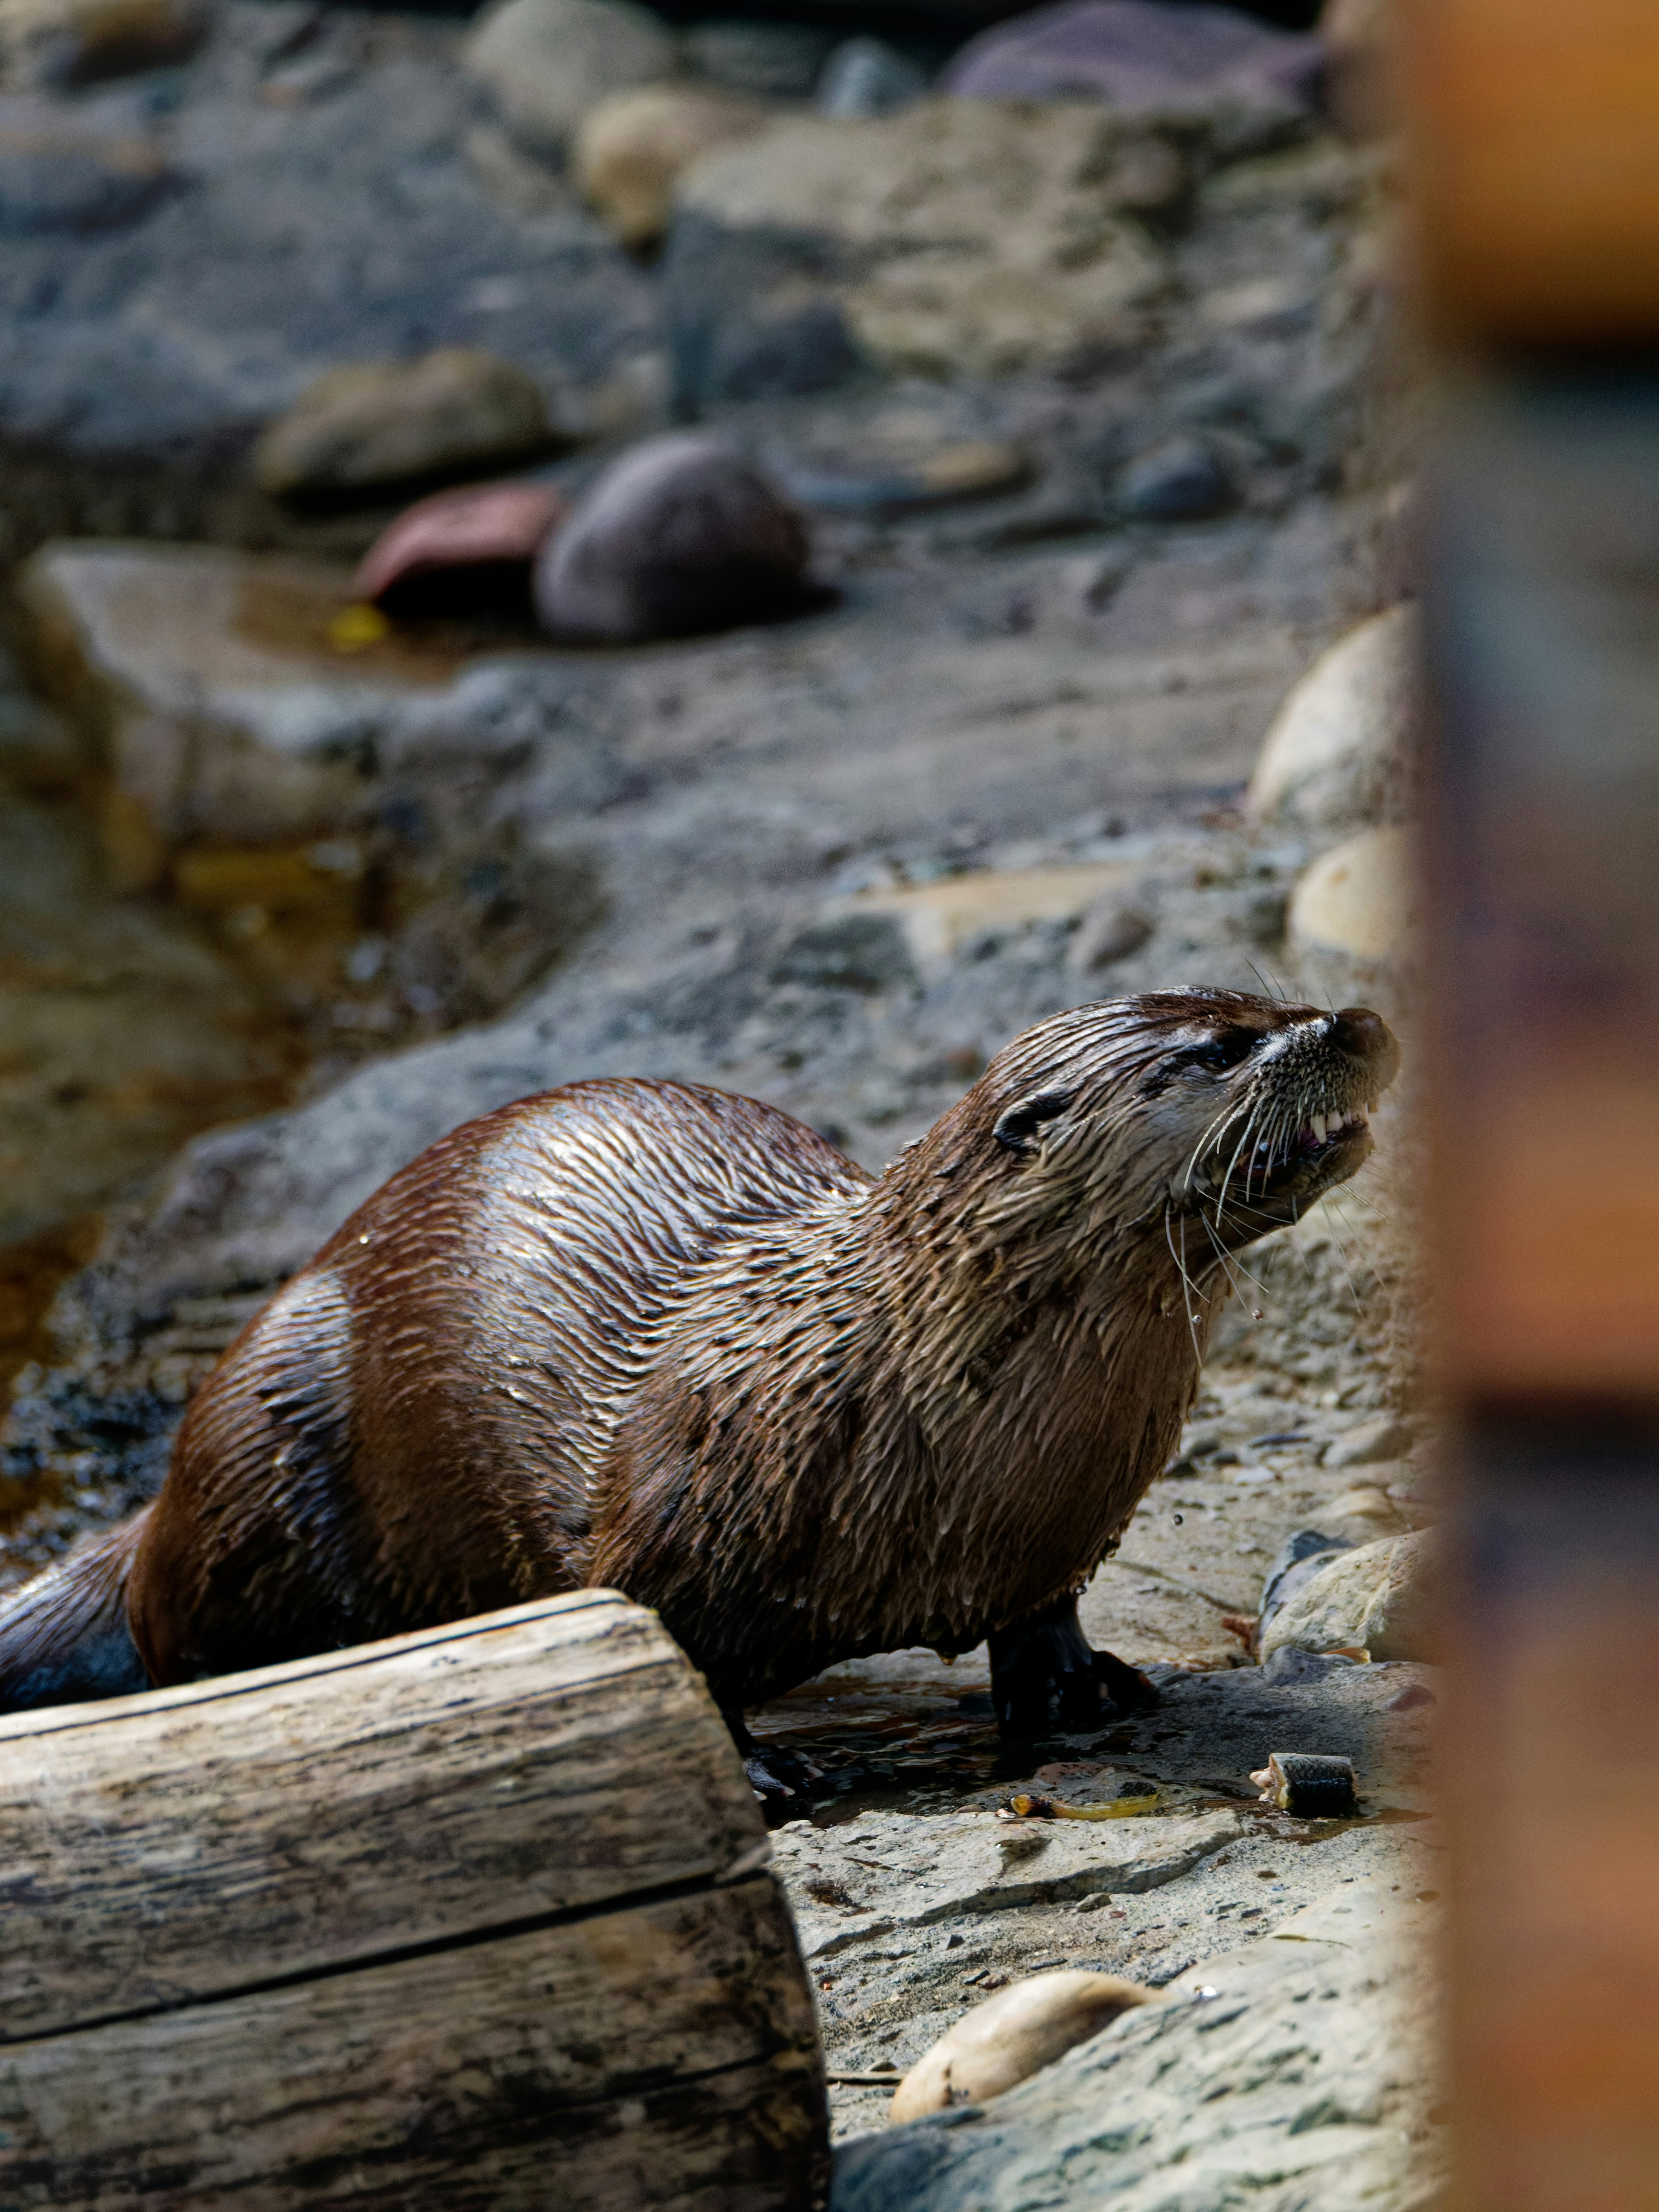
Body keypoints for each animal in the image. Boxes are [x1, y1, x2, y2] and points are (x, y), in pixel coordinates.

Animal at [0, 990, 1397, 1771]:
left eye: (1264, 993)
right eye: (1220, 1048)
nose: (1355, 1022)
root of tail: (160, 1506)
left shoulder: (1056, 1529)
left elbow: (1042, 1610)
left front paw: (1078, 1687)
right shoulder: (675, 1512)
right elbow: (663, 1641)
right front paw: (761, 1775)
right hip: (268, 1434)